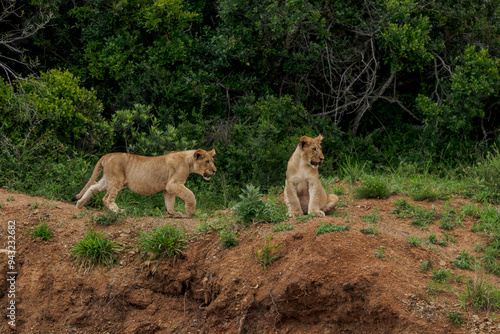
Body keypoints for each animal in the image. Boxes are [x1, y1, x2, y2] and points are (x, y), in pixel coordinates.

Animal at [72, 149, 215, 218]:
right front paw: (190, 211)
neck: (188, 161)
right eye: (207, 161)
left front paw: (174, 214)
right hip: (117, 180)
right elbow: (190, 195)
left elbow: (170, 202)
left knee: (92, 187)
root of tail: (106, 155)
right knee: (106, 198)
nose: (215, 171)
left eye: (211, 161)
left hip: (107, 180)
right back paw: (119, 211)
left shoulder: (167, 188)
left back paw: (79, 204)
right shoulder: (173, 184)